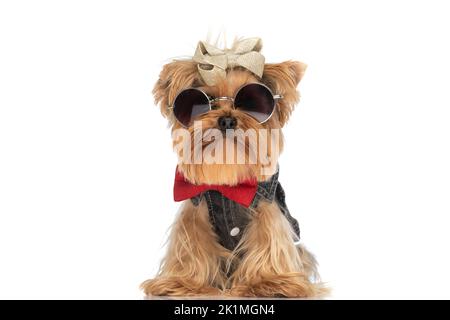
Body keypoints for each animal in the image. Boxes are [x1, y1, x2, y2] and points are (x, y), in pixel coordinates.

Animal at [142, 37, 326, 298]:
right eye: (205, 101)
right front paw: (184, 282)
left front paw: (268, 282)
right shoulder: (194, 210)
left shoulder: (266, 206)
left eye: (252, 103)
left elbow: (268, 237)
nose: (227, 119)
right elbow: (192, 244)